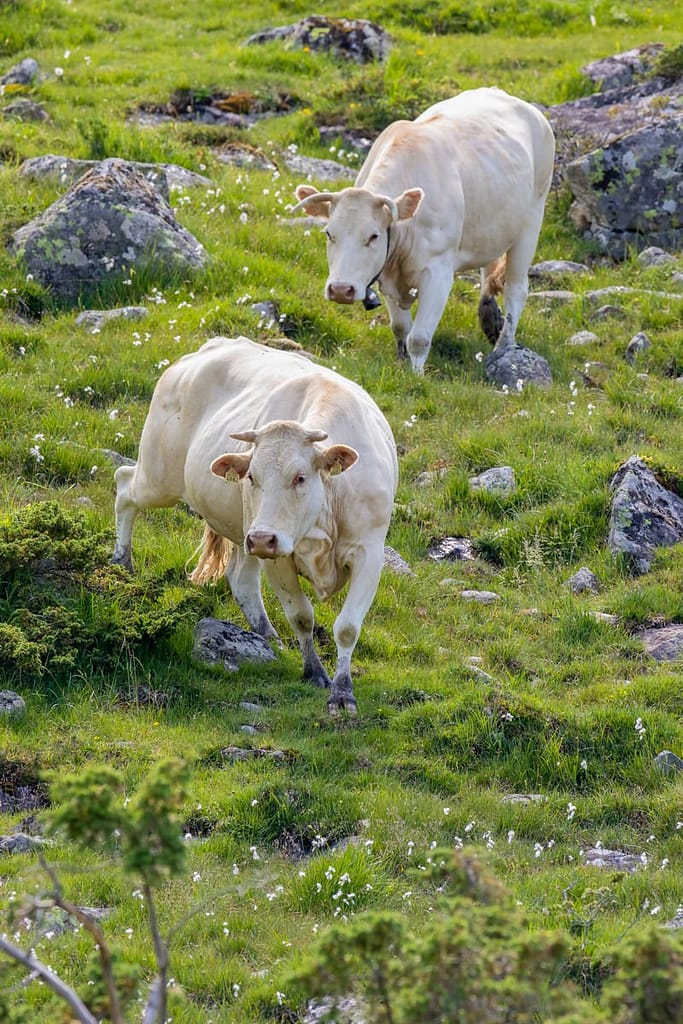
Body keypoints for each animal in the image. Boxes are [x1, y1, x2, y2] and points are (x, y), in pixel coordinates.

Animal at [112, 336, 398, 714]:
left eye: (300, 477)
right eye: (251, 476)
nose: (263, 538)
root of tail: (208, 347)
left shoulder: (370, 552)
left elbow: (347, 627)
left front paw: (342, 691)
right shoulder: (277, 557)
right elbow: (302, 616)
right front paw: (314, 672)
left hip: (238, 522)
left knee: (240, 578)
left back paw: (266, 635)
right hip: (164, 480)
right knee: (124, 485)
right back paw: (121, 561)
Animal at [291, 87, 555, 374]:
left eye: (373, 236)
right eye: (329, 234)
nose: (341, 290)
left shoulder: (438, 273)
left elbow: (419, 337)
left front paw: (416, 375)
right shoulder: (386, 272)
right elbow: (400, 327)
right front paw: (401, 360)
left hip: (532, 221)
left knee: (516, 289)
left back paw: (504, 345)